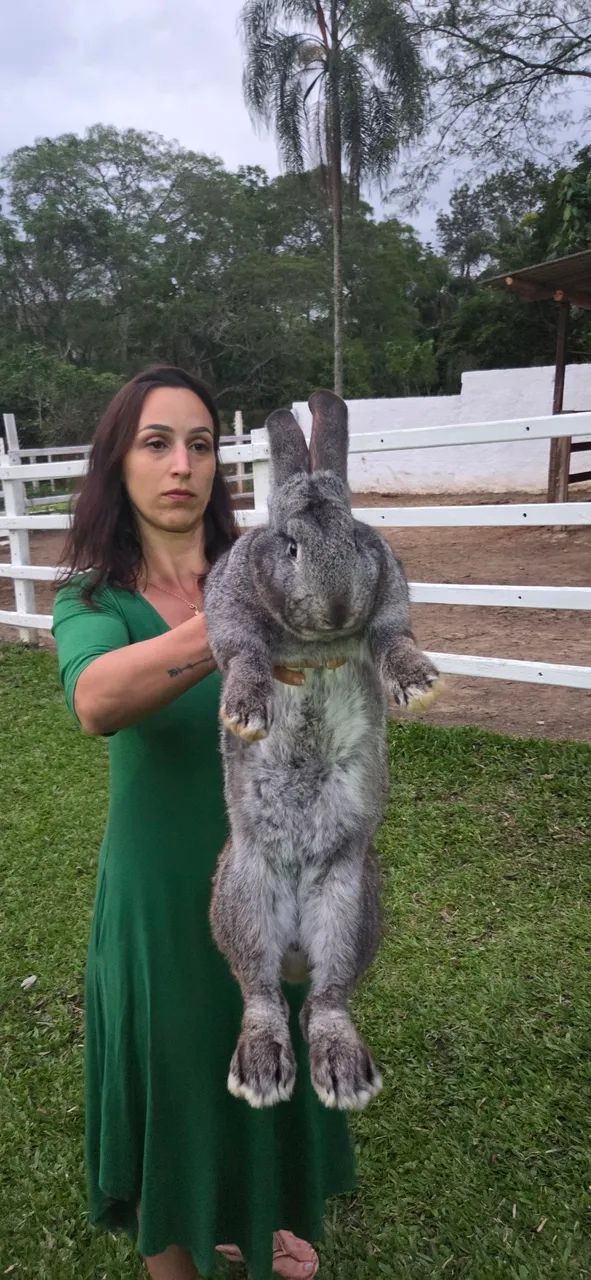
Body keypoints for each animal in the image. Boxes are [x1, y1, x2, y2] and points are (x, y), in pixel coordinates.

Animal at [205, 390, 439, 1112]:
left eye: (355, 538)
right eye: (290, 546)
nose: (337, 607)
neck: (316, 638)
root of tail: (294, 947)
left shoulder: (390, 602)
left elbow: (393, 639)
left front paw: (420, 686)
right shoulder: (229, 611)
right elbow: (245, 654)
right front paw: (245, 713)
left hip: (349, 903)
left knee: (326, 1000)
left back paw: (343, 1075)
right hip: (243, 895)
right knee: (261, 995)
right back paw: (262, 1073)